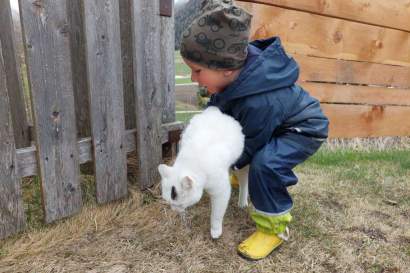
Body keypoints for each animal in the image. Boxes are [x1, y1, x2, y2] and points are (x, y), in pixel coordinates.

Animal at [158, 105, 248, 237]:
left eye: (177, 203)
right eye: (168, 202)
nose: (174, 209)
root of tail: (216, 111)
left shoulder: (221, 191)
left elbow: (216, 214)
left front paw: (215, 230)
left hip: (240, 164)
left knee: (244, 182)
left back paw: (242, 202)